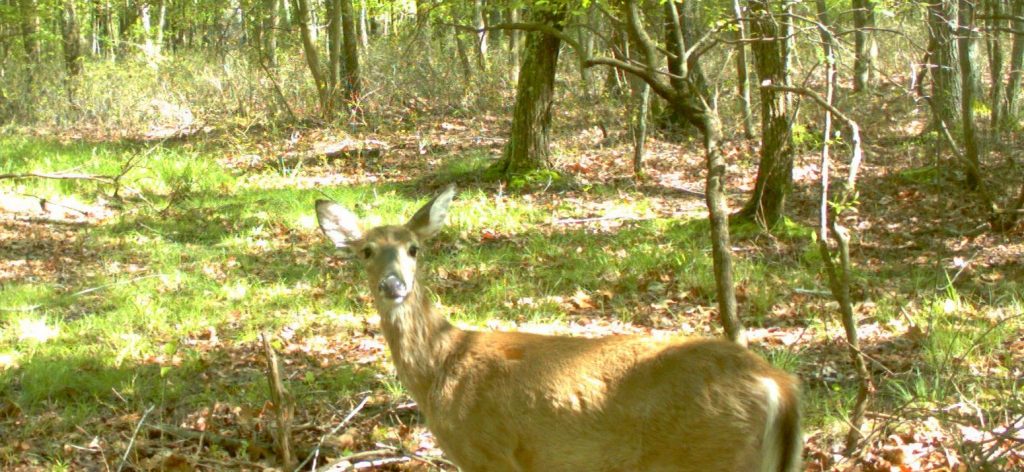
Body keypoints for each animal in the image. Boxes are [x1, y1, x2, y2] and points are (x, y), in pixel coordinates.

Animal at [311, 185, 798, 470]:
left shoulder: (489, 452)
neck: (442, 366)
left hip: (713, 453)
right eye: (366, 250)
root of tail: (779, 384)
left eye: (414, 248)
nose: (394, 285)